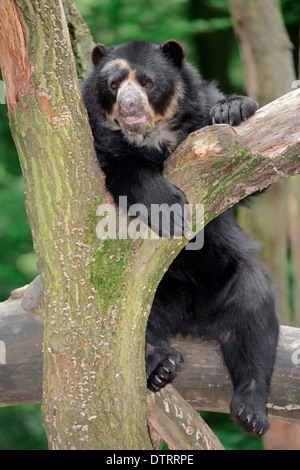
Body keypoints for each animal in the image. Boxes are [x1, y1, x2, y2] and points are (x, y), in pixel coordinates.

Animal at [81, 38, 278, 436]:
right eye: (113, 85)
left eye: (147, 82)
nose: (129, 106)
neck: (153, 135)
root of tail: (192, 319)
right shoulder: (101, 140)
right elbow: (125, 169)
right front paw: (171, 212)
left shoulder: (201, 114)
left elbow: (250, 179)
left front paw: (234, 108)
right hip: (146, 292)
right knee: (134, 329)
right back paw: (162, 366)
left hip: (229, 277)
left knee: (255, 323)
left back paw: (251, 412)